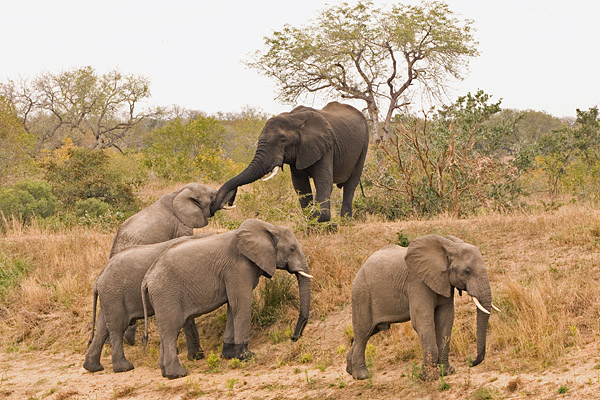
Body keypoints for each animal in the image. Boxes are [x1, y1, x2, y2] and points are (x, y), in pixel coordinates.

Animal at [81, 234, 213, 376]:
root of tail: (99, 277)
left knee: (102, 326)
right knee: (117, 326)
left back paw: (92, 367)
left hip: (109, 296)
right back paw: (125, 368)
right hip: (113, 293)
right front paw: (197, 356)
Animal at [140, 219, 310, 378]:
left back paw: (166, 373)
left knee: (165, 331)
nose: (294, 337)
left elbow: (232, 307)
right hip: (166, 293)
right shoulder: (238, 267)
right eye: (292, 249)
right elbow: (242, 304)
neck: (269, 227)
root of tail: (147, 278)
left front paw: (229, 355)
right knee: (171, 329)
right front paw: (246, 356)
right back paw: (178, 374)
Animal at [211, 101, 370, 222]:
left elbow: (323, 181)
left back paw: (346, 223)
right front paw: (310, 224)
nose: (230, 200)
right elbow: (300, 185)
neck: (293, 118)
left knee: (351, 184)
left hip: (364, 145)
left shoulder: (326, 147)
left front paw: (322, 223)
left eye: (282, 141)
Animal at [344, 234, 500, 382]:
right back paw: (362, 376)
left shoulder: (443, 282)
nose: (472, 362)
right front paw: (428, 377)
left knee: (369, 331)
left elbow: (446, 318)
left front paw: (447, 372)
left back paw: (350, 371)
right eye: (467, 271)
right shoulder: (417, 282)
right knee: (363, 332)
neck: (449, 246)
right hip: (361, 294)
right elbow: (422, 321)